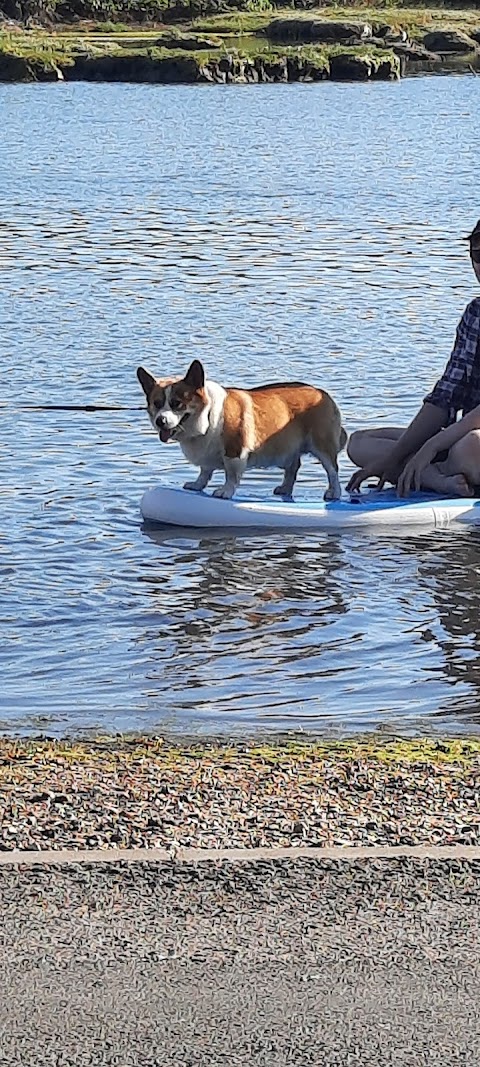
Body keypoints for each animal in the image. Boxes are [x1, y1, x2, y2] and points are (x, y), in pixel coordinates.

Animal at [136, 360, 347, 501]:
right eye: (157, 403)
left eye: (176, 403)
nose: (161, 421)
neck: (207, 416)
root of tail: (323, 393)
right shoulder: (207, 457)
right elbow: (205, 471)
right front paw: (197, 485)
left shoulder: (234, 451)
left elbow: (231, 475)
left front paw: (225, 492)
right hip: (288, 447)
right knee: (293, 467)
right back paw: (285, 489)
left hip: (322, 446)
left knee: (332, 470)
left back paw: (334, 493)